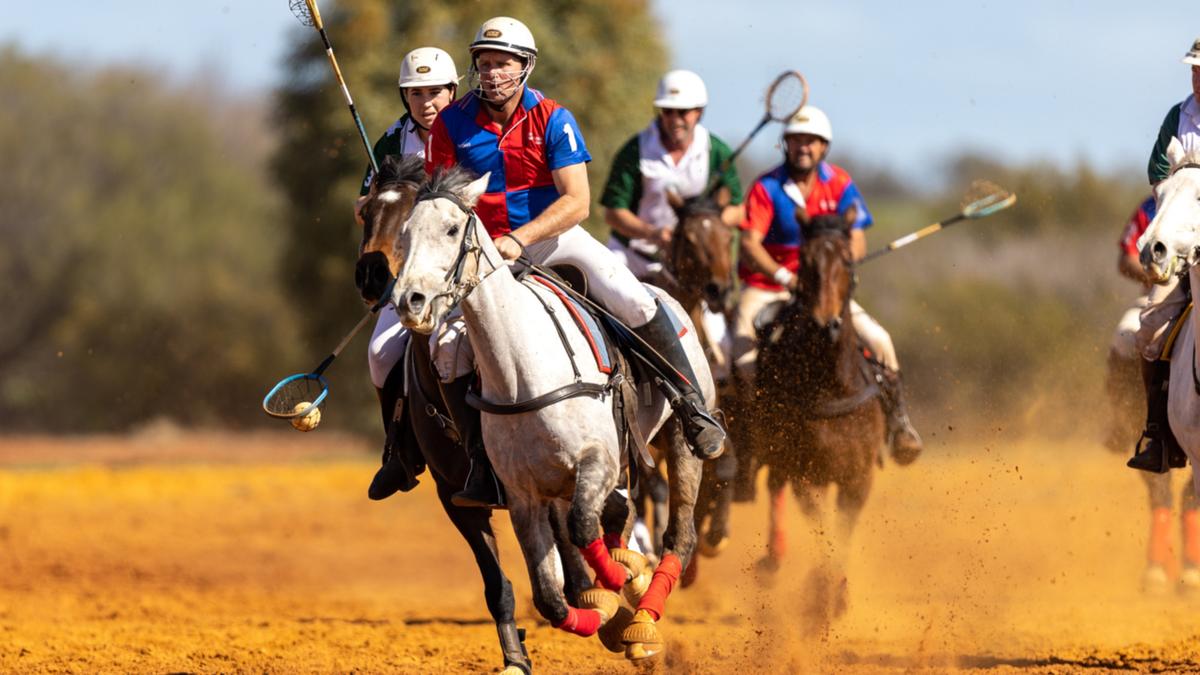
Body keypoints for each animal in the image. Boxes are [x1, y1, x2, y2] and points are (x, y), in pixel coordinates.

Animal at [352, 154, 597, 667]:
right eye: (366, 213)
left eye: (408, 218)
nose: (374, 279)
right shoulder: (456, 494)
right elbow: (496, 585)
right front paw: (516, 657)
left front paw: (587, 594)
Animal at [391, 165, 710, 658]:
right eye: (403, 234)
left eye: (450, 229)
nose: (410, 301)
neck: (522, 369)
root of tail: (669, 295)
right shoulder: (523, 495)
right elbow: (549, 597)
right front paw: (603, 608)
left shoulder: (598, 461)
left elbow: (582, 528)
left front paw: (617, 587)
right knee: (618, 519)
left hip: (677, 439)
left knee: (679, 534)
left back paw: (643, 621)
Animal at [753, 207, 888, 629]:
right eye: (806, 261)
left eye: (846, 259)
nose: (825, 324)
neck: (833, 386)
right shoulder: (805, 474)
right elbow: (821, 532)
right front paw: (819, 598)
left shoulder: (859, 478)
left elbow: (841, 533)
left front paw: (836, 599)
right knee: (774, 486)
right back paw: (772, 560)